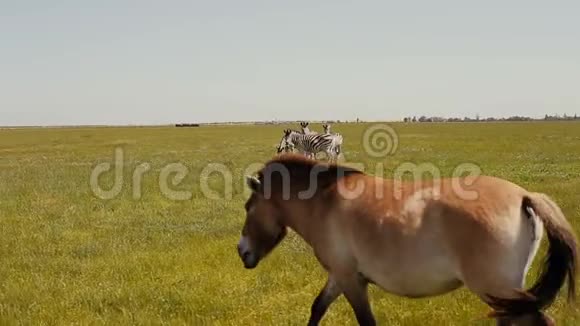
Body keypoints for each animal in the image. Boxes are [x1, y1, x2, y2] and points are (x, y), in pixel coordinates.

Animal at [236, 154, 576, 324]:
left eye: (248, 206)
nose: (242, 252)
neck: (325, 202)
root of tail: (524, 196)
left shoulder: (351, 281)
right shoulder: (341, 276)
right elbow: (317, 308)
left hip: (498, 290)